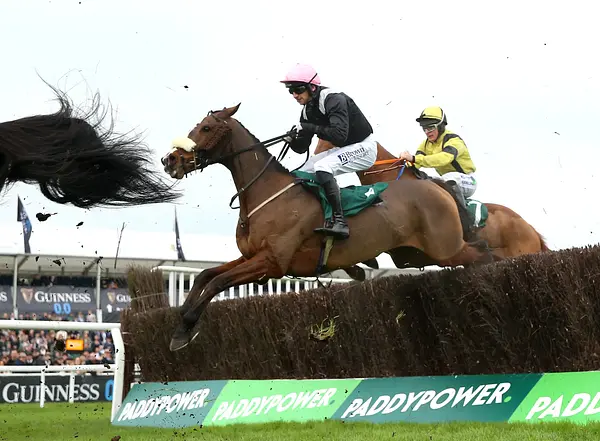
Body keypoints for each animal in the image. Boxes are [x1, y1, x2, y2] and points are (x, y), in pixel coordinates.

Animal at [161, 103, 496, 351]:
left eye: (206, 127)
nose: (170, 160)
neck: (268, 193)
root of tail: (437, 186)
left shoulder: (271, 263)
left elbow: (218, 282)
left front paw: (185, 327)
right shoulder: (251, 256)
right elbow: (205, 275)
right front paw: (182, 325)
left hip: (445, 248)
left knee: (484, 255)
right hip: (412, 255)